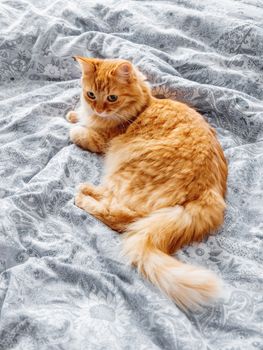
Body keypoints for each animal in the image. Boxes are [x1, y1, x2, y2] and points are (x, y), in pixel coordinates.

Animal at [67, 56, 229, 308]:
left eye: (112, 98)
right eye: (91, 94)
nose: (98, 109)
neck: (142, 107)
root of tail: (210, 192)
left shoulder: (101, 140)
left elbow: (79, 132)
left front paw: (75, 125)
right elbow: (79, 116)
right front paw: (75, 114)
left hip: (126, 172)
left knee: (118, 215)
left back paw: (83, 193)